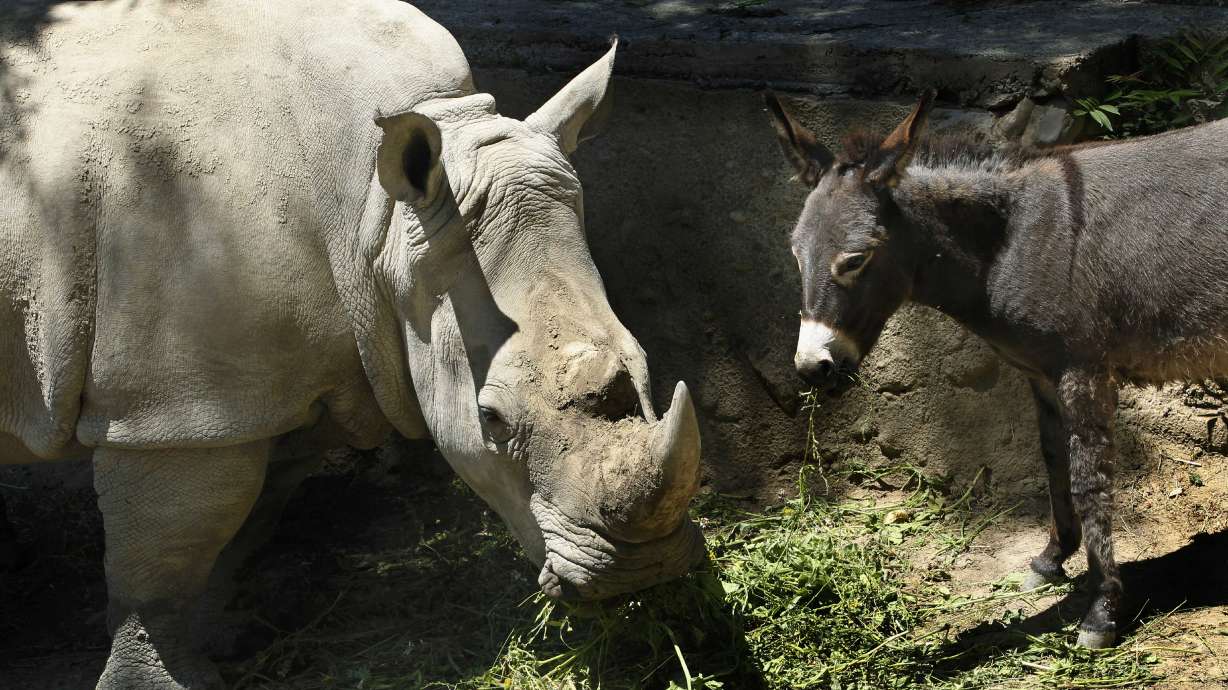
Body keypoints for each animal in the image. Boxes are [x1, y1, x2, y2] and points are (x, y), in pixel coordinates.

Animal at [0, 1, 705, 687]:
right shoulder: (175, 407)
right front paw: (158, 678)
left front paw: (223, 638)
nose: (644, 570)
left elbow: (243, 520)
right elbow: (165, 556)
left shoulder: (280, 382)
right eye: (491, 418)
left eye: (646, 370)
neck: (378, 218)